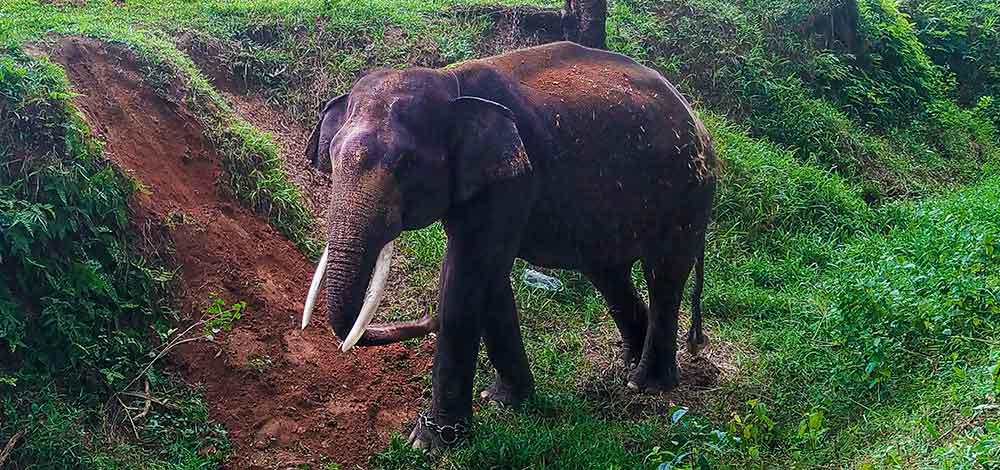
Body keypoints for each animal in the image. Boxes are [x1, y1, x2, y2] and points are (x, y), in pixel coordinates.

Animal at [300, 40, 716, 448]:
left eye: (405, 164)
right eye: (332, 159)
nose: (424, 319)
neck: (450, 81)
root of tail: (697, 121)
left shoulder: (512, 181)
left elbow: (467, 282)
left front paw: (432, 442)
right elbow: (490, 282)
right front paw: (504, 400)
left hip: (686, 192)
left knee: (663, 275)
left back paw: (647, 385)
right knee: (608, 274)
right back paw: (629, 367)